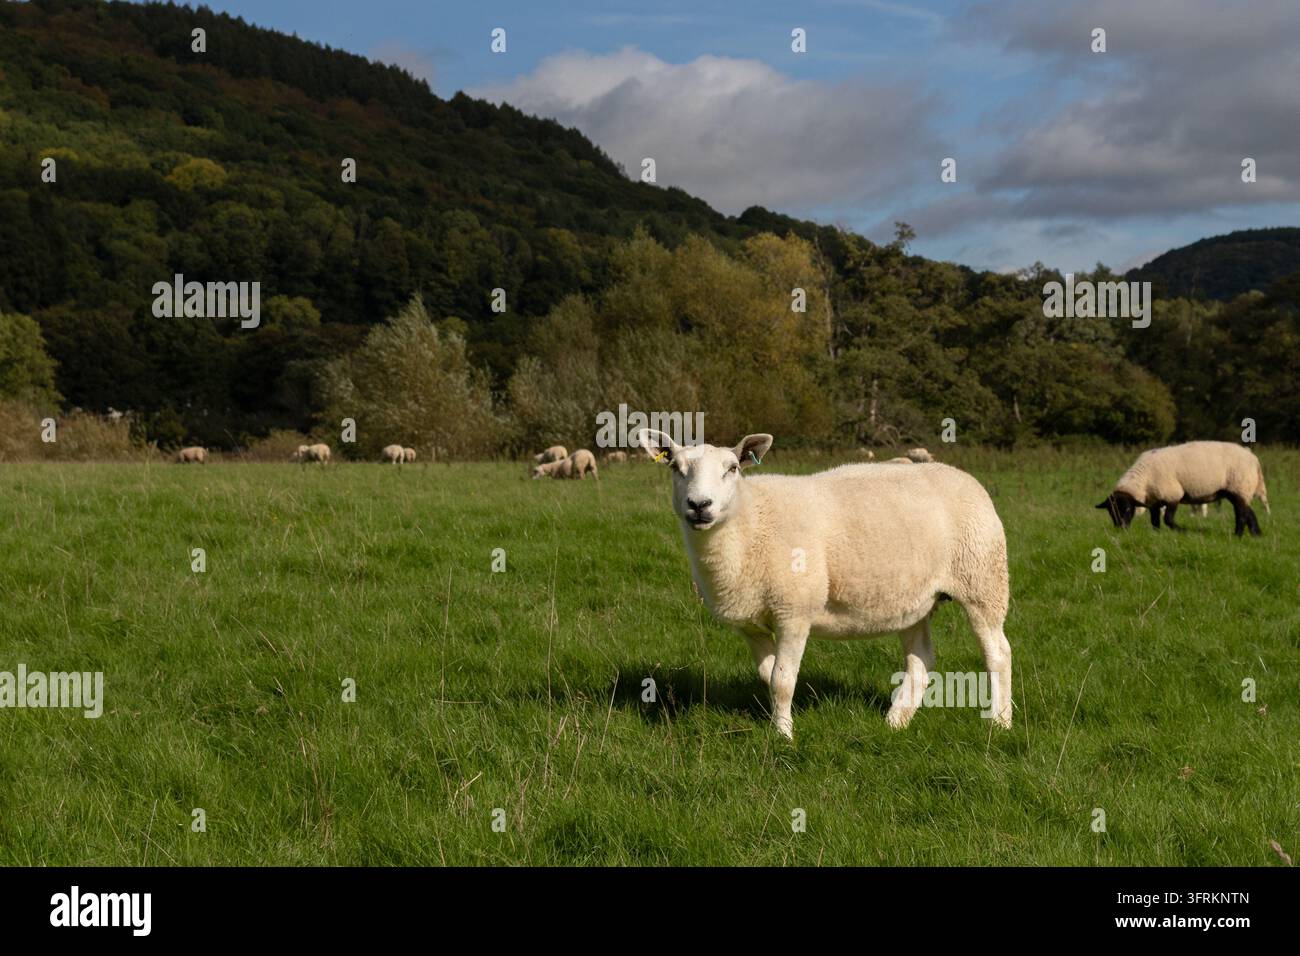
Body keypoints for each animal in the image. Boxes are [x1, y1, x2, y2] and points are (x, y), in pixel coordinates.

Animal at [636, 427, 1012, 740]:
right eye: (675, 467)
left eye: (732, 468)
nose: (700, 505)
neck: (750, 521)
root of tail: (963, 476)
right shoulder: (749, 624)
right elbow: (769, 674)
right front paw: (780, 722)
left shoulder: (794, 611)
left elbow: (783, 680)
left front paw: (784, 736)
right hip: (915, 598)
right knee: (921, 660)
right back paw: (895, 722)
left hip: (983, 579)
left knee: (998, 653)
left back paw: (999, 721)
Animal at [1096, 441, 1269, 536]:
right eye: (1111, 511)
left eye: (1127, 509)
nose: (1121, 528)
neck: (1143, 479)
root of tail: (1253, 458)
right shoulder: (1154, 501)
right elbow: (1154, 521)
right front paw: (1156, 535)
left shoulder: (1172, 494)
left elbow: (1168, 519)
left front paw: (1183, 531)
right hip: (1237, 490)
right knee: (1248, 512)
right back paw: (1256, 534)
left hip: (1240, 486)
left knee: (1241, 515)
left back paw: (1238, 535)